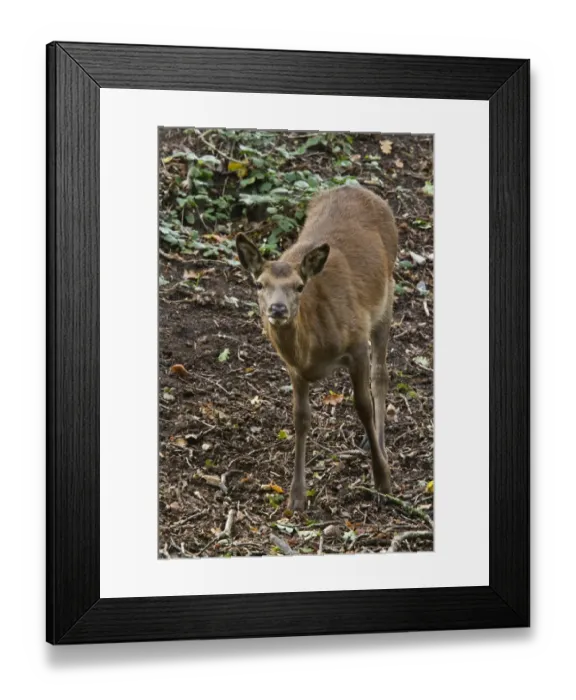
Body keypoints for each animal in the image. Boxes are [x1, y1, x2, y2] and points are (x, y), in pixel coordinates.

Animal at [235, 184, 398, 512]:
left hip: (387, 296)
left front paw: (382, 480)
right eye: (259, 284)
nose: (278, 309)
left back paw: (380, 444)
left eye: (299, 286)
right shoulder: (294, 369)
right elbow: (300, 418)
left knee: (381, 375)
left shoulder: (357, 341)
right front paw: (296, 496)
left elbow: (362, 405)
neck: (314, 348)